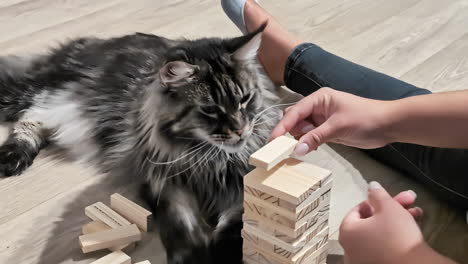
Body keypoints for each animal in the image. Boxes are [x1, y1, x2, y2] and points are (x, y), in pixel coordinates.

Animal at [0, 23, 278, 262]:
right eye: (209, 110)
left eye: (245, 99)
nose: (241, 130)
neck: (209, 160)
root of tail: (88, 42)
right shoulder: (162, 183)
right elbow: (181, 225)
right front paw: (193, 257)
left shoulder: (239, 188)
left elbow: (234, 230)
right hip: (36, 95)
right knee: (28, 115)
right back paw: (12, 157)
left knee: (33, 116)